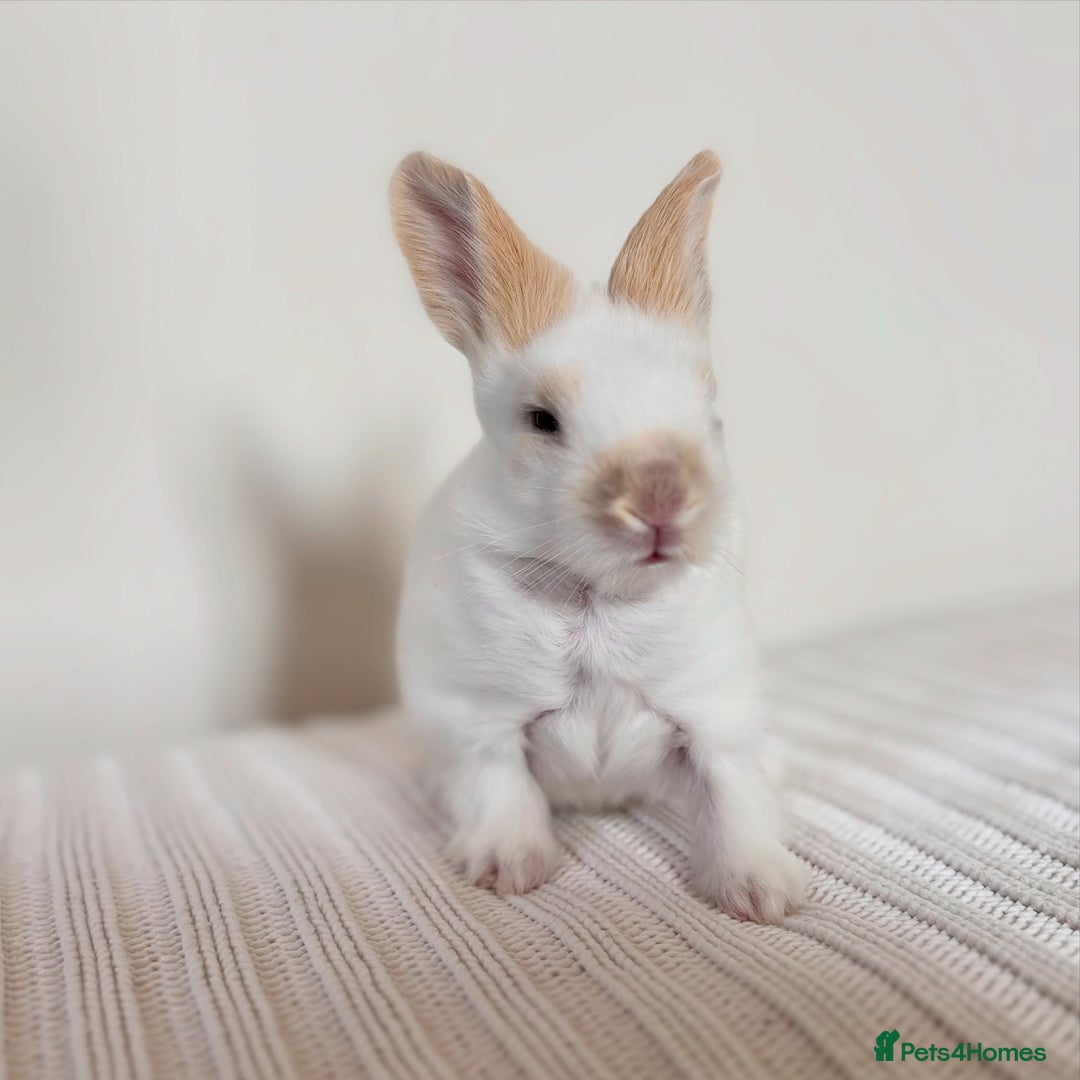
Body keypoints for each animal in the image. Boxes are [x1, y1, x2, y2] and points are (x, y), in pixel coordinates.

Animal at [389, 150, 807, 922]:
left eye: (710, 415)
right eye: (542, 420)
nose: (660, 503)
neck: (598, 596)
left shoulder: (715, 716)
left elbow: (733, 798)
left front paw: (762, 893)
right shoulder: (480, 720)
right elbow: (501, 791)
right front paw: (509, 869)